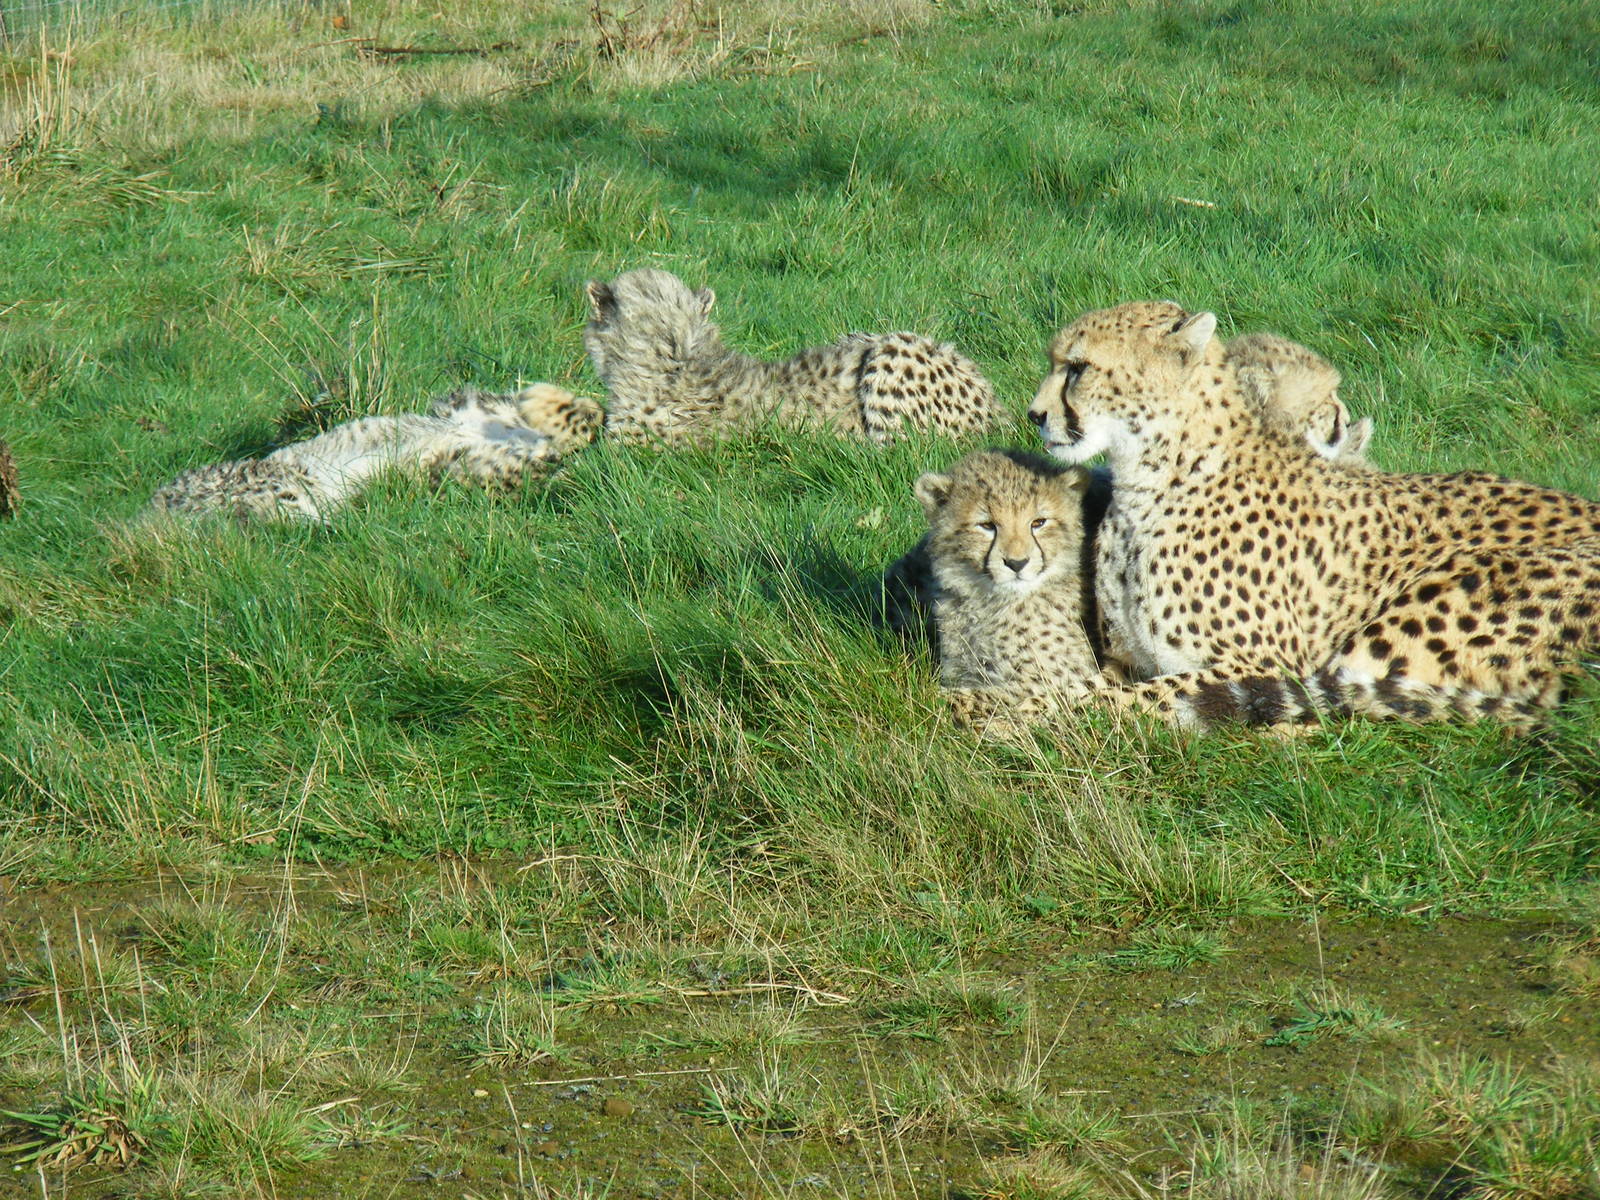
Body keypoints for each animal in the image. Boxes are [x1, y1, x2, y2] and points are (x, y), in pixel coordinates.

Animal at [1019, 299, 1600, 733]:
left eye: (1077, 368)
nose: (1035, 414)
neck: (1152, 473)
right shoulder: (1124, 660)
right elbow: (1088, 683)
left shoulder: (1265, 664)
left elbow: (1103, 698)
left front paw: (1004, 718)